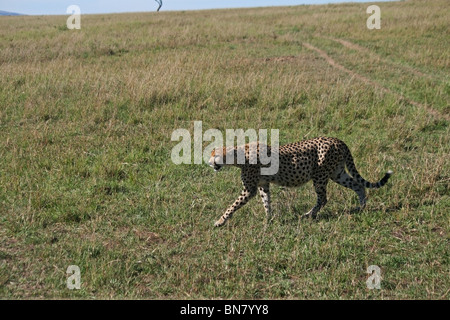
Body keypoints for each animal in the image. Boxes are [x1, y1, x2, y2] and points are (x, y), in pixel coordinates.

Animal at [209, 138, 392, 228]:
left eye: (214, 155)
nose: (209, 163)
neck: (238, 155)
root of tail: (336, 139)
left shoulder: (249, 189)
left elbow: (233, 205)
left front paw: (220, 221)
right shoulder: (263, 185)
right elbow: (266, 201)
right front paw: (269, 219)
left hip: (320, 176)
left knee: (323, 198)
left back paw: (309, 215)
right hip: (337, 173)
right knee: (358, 185)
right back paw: (361, 207)